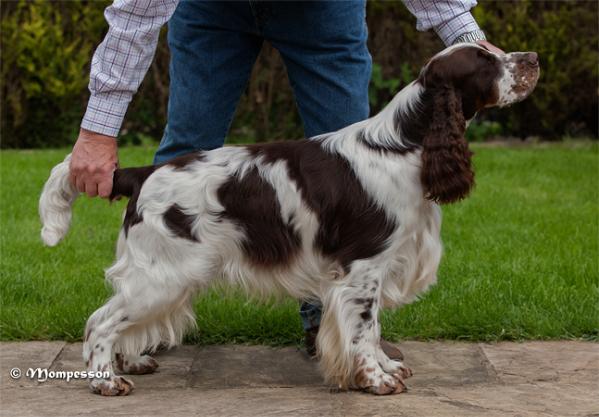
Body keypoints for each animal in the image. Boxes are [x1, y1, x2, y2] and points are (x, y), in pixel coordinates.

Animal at [39, 44, 540, 394]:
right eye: (484, 61)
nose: (534, 58)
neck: (405, 145)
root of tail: (143, 172)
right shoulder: (363, 267)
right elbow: (363, 329)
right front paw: (376, 380)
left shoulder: (374, 268)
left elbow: (373, 328)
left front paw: (386, 367)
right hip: (162, 274)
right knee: (99, 322)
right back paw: (106, 380)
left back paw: (132, 361)